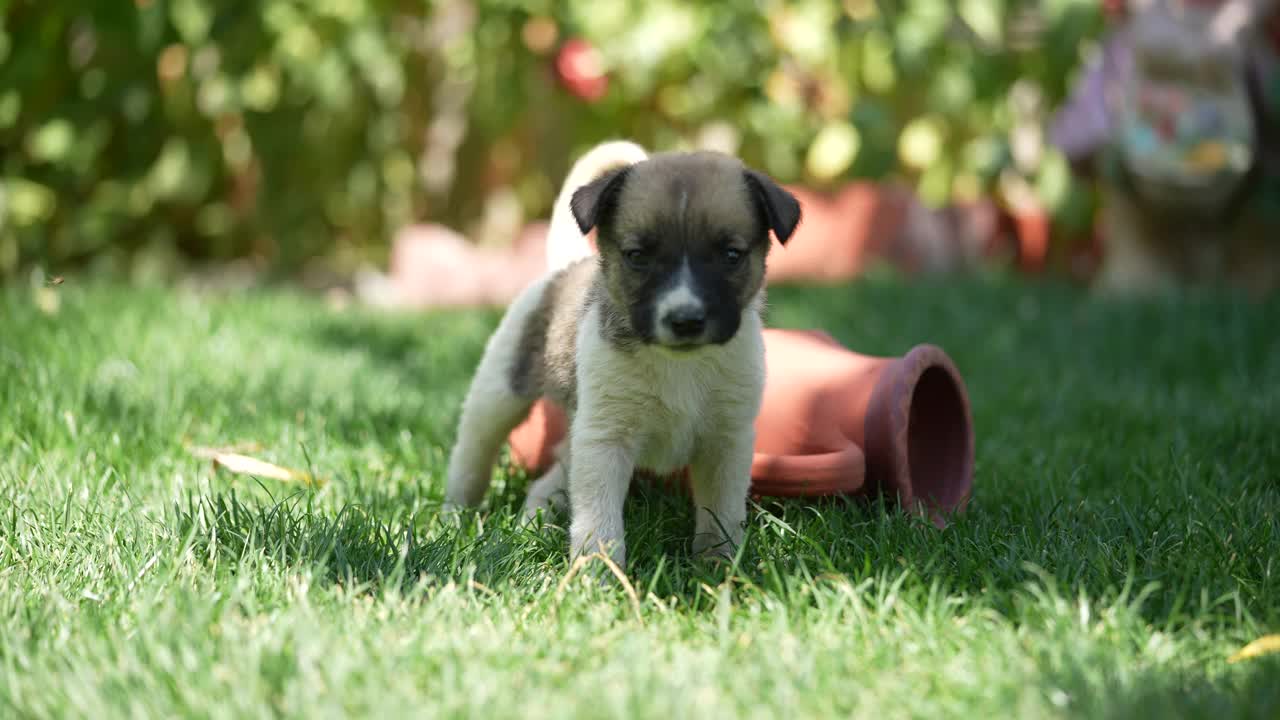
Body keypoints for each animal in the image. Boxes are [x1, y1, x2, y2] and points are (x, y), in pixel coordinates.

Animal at [442, 141, 798, 566]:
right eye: (637, 256)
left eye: (731, 255)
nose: (685, 320)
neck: (679, 364)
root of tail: (567, 267)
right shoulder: (605, 441)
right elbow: (599, 521)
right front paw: (598, 572)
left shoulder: (727, 442)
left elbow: (722, 515)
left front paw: (718, 566)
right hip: (498, 396)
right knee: (471, 456)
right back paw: (454, 517)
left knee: (547, 478)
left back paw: (535, 519)